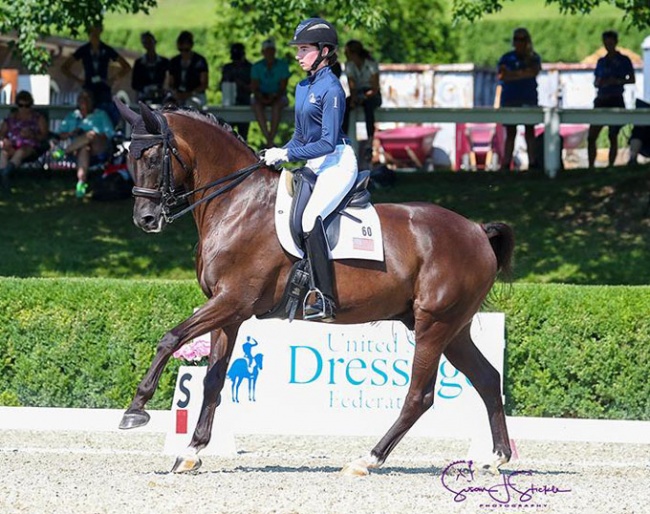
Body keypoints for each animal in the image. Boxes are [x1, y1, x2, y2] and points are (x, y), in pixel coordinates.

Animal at [115, 101, 512, 476]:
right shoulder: (228, 312)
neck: (237, 204)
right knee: (488, 379)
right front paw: (191, 451)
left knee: (420, 395)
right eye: (129, 157)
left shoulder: (232, 301)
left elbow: (170, 338)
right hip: (452, 328)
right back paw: (496, 458)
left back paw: (367, 459)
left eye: (153, 157)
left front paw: (136, 409)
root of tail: (477, 230)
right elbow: (213, 380)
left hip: (434, 324)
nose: (145, 220)